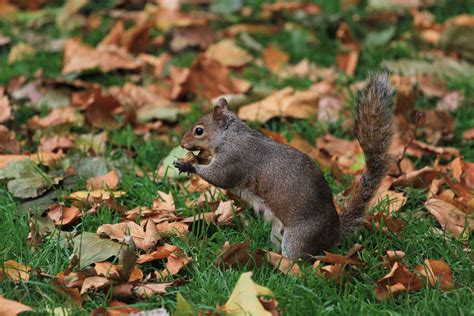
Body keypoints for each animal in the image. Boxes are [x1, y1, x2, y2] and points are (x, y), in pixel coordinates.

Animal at [172, 73, 394, 260]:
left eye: (199, 131)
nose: (182, 143)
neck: (230, 135)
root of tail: (334, 233)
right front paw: (192, 159)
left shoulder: (234, 158)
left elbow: (218, 177)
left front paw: (188, 165)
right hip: (278, 233)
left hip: (299, 238)